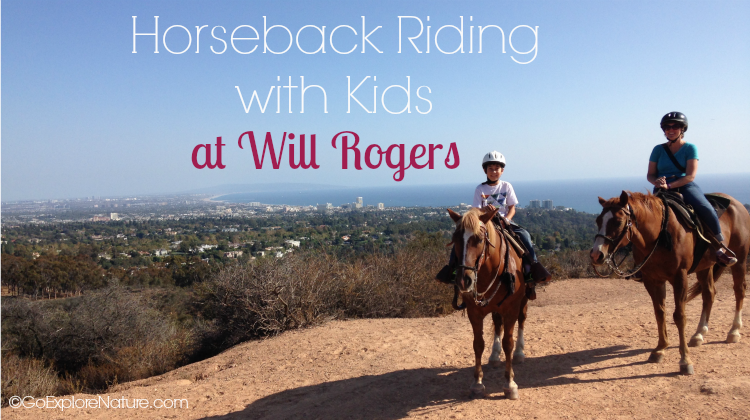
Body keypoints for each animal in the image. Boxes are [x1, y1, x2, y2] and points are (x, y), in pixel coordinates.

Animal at [450, 208, 532, 398]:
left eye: (479, 239)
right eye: (455, 239)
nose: (464, 280)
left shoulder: (511, 309)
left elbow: (508, 343)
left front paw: (510, 384)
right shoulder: (474, 312)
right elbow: (478, 344)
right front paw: (477, 383)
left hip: (523, 300)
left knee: (522, 320)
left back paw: (519, 353)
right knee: (497, 323)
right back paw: (494, 356)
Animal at [592, 190, 748, 374]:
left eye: (617, 221)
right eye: (598, 220)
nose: (596, 254)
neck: (659, 236)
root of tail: (737, 203)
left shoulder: (680, 277)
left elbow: (679, 316)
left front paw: (685, 360)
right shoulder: (653, 280)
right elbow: (660, 313)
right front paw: (660, 349)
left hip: (740, 259)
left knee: (739, 290)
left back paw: (734, 331)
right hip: (705, 266)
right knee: (709, 294)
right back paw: (699, 334)